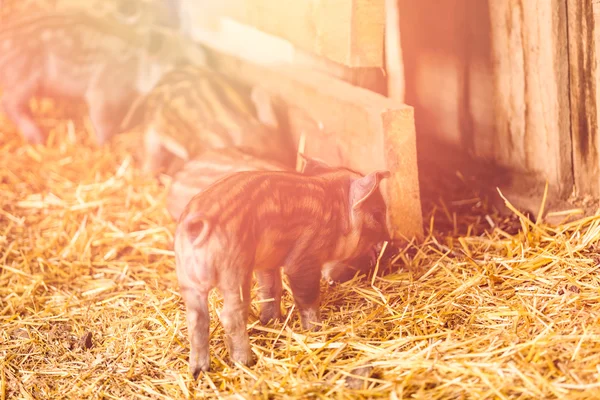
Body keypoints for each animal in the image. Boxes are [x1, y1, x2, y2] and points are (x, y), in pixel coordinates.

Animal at [173, 155, 392, 376]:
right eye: (378, 213)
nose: (389, 239)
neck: (336, 213)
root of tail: (197, 226)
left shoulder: (267, 263)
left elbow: (270, 289)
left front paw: (271, 320)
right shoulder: (304, 257)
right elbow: (307, 297)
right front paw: (316, 329)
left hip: (186, 278)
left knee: (196, 319)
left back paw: (198, 371)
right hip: (233, 271)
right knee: (230, 315)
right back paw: (245, 362)